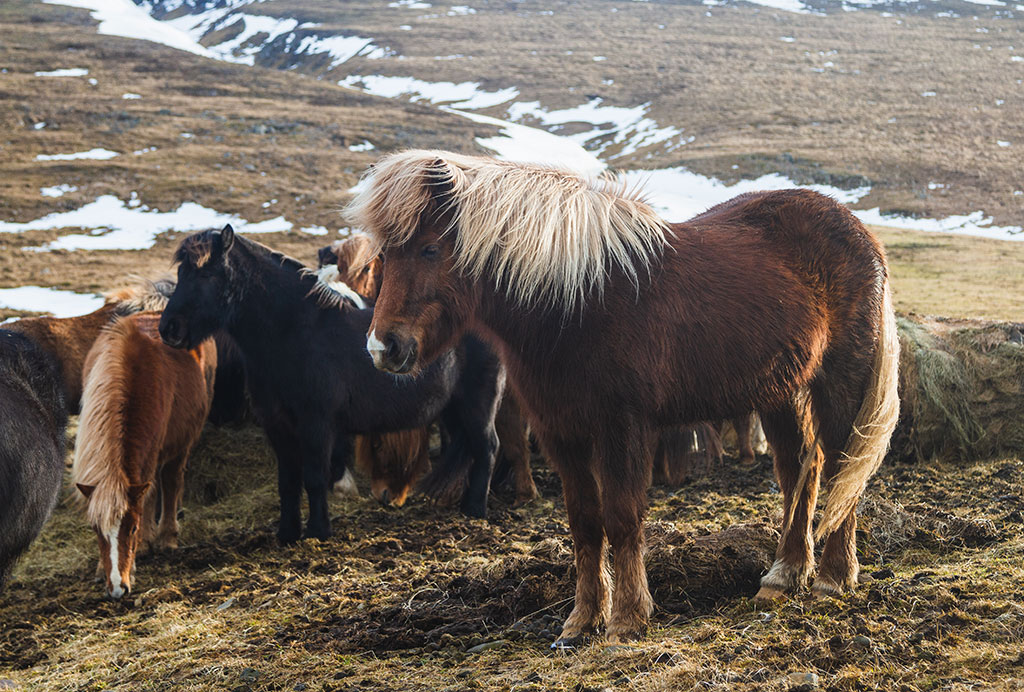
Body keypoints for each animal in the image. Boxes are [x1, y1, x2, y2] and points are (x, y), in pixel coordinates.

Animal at [73, 315, 216, 601]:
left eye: (133, 528)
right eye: (96, 531)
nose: (118, 589)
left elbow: (149, 497)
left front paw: (141, 548)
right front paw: (101, 568)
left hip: (181, 443)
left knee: (170, 482)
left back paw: (166, 538)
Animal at [157, 225, 505, 540]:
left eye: (207, 275)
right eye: (182, 273)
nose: (169, 328)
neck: (293, 332)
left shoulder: (317, 425)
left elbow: (314, 477)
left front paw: (318, 531)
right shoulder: (277, 426)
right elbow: (287, 482)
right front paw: (287, 534)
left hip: (478, 405)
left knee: (487, 448)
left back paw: (474, 510)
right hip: (453, 409)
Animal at [348, 148, 901, 646]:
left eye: (429, 249)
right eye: (383, 256)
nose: (383, 348)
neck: (575, 301)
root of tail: (860, 233)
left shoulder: (622, 427)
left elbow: (621, 517)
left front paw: (628, 619)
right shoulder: (561, 432)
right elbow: (585, 523)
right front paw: (581, 620)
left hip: (837, 379)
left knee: (841, 465)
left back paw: (832, 578)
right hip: (778, 390)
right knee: (798, 468)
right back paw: (784, 575)